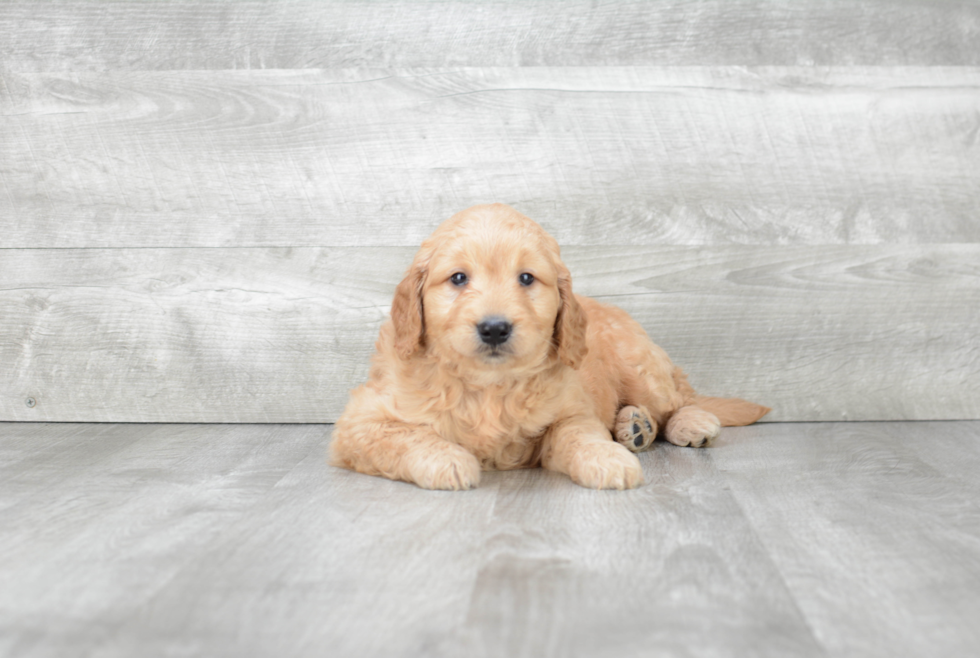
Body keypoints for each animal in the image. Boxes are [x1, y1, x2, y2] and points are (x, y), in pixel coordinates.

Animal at [334, 204, 768, 486]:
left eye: (526, 278)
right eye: (458, 278)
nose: (495, 328)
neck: (488, 387)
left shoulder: (571, 409)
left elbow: (578, 434)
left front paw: (607, 458)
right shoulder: (359, 424)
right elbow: (408, 436)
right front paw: (450, 461)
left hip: (642, 366)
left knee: (680, 397)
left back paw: (686, 423)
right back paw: (634, 426)